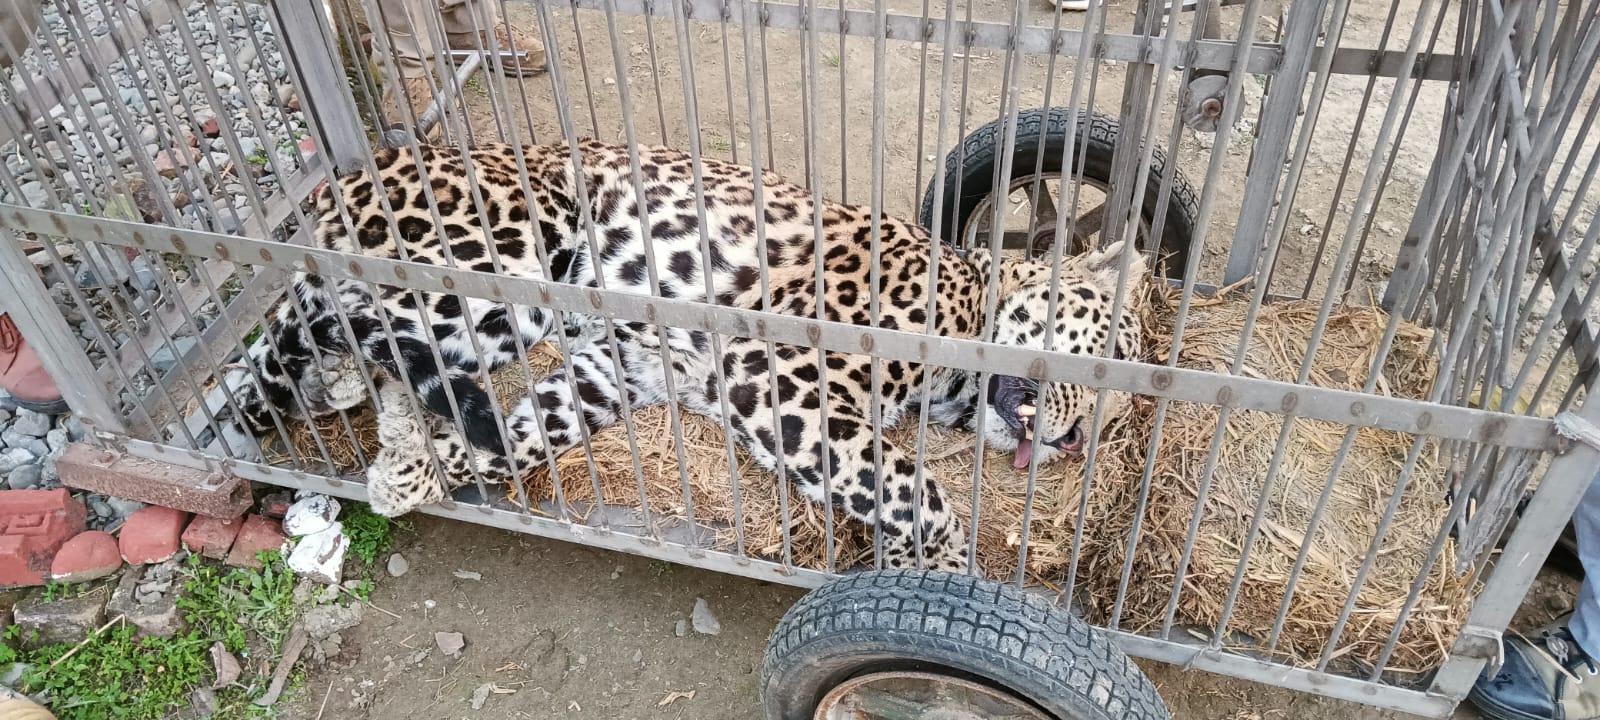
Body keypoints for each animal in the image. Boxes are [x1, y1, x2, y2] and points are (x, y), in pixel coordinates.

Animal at [225, 137, 1152, 569]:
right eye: (1105, 355)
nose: (1081, 440)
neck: (965, 309)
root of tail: (354, 171)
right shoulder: (783, 379)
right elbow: (917, 490)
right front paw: (945, 573)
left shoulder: (614, 377)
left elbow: (514, 433)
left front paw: (411, 468)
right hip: (502, 265)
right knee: (325, 314)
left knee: (303, 335)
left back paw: (331, 396)